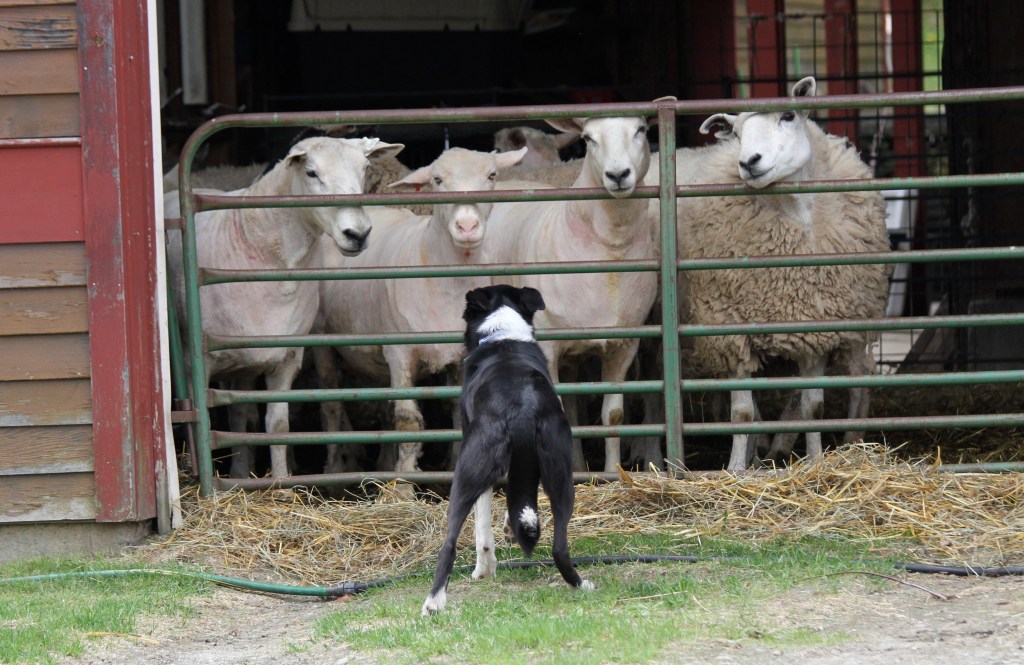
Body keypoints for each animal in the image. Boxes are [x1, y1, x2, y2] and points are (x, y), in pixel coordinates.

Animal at [164, 135, 405, 480]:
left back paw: (241, 472)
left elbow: (277, 425)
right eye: (311, 173)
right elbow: (204, 423)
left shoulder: (287, 356)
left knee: (241, 412)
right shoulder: (195, 361)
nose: (357, 234)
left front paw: (280, 482)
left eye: (365, 169)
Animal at [313, 146, 529, 480]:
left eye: (492, 175)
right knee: (331, 406)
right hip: (322, 341)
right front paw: (403, 483)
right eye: (437, 180)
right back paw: (336, 469)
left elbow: (460, 414)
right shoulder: (399, 354)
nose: (467, 227)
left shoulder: (463, 356)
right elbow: (407, 420)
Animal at [483, 103, 671, 473]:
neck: (610, 249)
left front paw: (612, 473)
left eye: (641, 130)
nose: (617, 174)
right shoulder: (548, 345)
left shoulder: (624, 344)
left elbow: (612, 414)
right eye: (588, 138)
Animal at [673, 77, 891, 471]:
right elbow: (742, 413)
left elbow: (813, 406)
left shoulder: (816, 328)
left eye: (788, 116)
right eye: (737, 132)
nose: (748, 162)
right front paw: (736, 469)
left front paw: (816, 460)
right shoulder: (731, 331)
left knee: (857, 377)